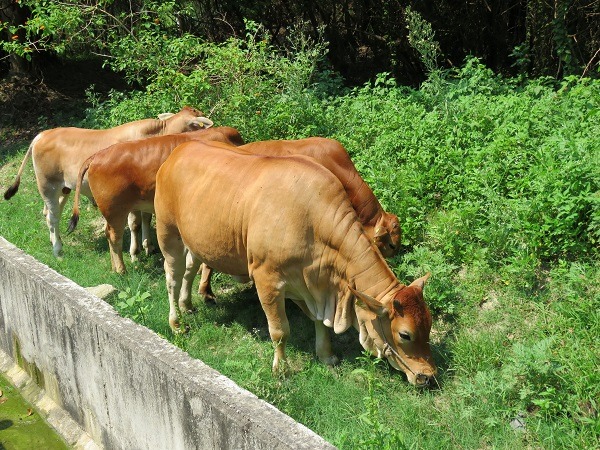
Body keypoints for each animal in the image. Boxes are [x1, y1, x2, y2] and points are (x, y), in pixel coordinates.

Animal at [1, 106, 213, 258]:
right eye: (196, 124)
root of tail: (42, 134)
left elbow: (146, 218)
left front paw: (148, 246)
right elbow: (135, 223)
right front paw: (135, 253)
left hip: (64, 188)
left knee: (50, 215)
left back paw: (54, 241)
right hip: (48, 186)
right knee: (52, 216)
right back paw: (58, 251)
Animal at [70, 127, 246, 274]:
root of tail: (97, 155)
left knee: (109, 234)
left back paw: (115, 267)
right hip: (114, 210)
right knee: (114, 236)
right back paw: (121, 270)